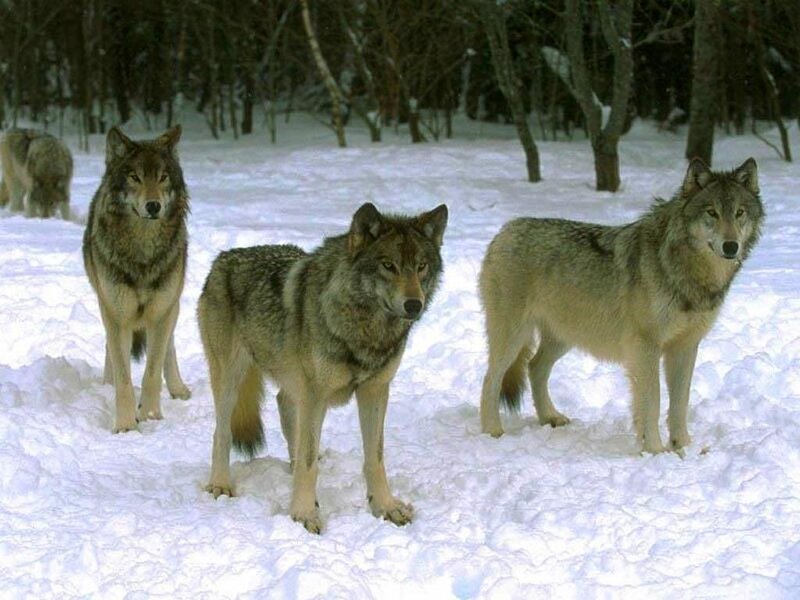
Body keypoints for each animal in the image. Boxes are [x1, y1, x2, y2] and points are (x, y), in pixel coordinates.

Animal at [83, 125, 191, 433]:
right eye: (135, 177)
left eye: (163, 177)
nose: (153, 206)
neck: (143, 252)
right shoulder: (116, 314)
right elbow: (124, 377)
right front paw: (126, 425)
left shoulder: (162, 311)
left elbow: (153, 371)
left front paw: (152, 415)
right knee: (111, 350)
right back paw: (106, 384)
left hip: (172, 304)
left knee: (169, 347)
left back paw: (178, 389)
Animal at [198, 202, 448, 533]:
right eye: (388, 265)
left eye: (421, 266)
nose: (414, 305)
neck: (364, 329)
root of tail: (223, 258)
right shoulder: (316, 395)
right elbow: (308, 465)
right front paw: (304, 514)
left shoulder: (374, 391)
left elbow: (374, 459)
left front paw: (386, 507)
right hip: (231, 380)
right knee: (221, 432)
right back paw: (220, 484)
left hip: (293, 384)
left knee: (286, 410)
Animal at [479, 158, 764, 454]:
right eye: (712, 213)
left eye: (739, 213)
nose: (730, 246)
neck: (685, 270)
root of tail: (505, 230)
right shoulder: (645, 347)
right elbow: (653, 402)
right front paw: (655, 450)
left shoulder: (685, 347)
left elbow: (680, 404)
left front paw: (683, 447)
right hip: (514, 338)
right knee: (490, 378)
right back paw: (493, 431)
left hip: (564, 337)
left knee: (534, 367)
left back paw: (550, 417)